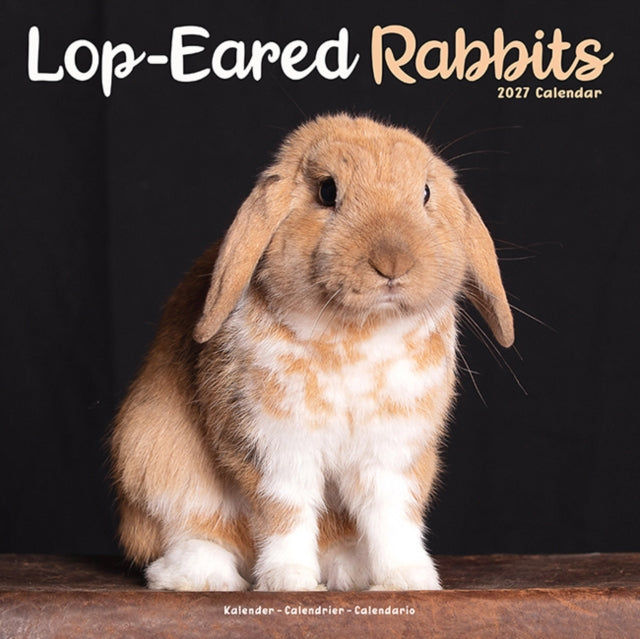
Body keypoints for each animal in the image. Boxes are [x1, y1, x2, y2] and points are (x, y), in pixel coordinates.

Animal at [110, 113, 514, 592]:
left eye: (426, 193)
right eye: (327, 192)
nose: (392, 263)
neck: (358, 331)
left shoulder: (394, 454)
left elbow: (393, 518)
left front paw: (408, 579)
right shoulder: (273, 444)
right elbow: (285, 511)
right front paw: (289, 580)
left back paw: (351, 570)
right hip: (154, 461)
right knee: (197, 532)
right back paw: (202, 576)